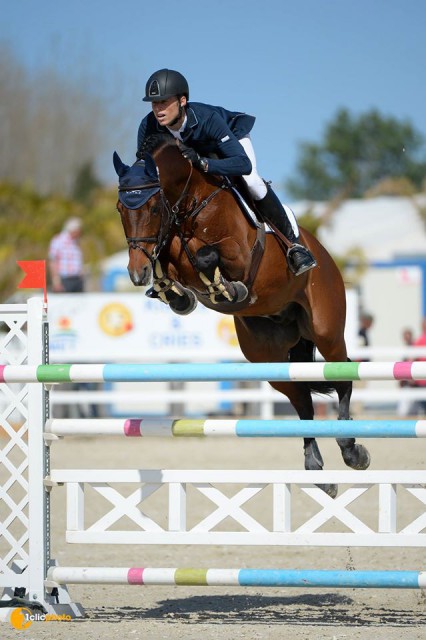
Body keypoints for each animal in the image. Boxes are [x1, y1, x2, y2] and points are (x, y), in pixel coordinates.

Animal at [113, 134, 370, 496]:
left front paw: (226, 288)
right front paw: (176, 294)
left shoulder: (240, 254)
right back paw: (318, 469)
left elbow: (206, 256)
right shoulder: (167, 247)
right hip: (268, 358)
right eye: (120, 208)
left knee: (342, 372)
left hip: (326, 329)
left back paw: (351, 448)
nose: (136, 273)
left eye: (151, 207)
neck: (189, 202)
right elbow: (168, 264)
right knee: (302, 399)